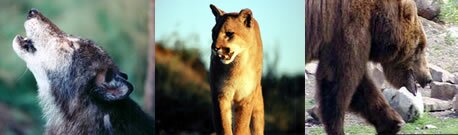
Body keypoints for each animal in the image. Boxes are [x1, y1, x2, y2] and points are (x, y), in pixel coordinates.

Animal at [308, 0, 432, 134]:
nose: (428, 78)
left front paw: (391, 123)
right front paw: (337, 129)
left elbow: (361, 87)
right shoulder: (348, 29)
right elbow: (338, 79)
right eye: (420, 47)